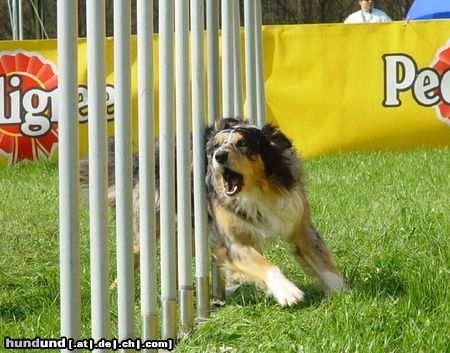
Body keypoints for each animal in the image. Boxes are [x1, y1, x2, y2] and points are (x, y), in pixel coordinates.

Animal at [80, 116, 344, 306]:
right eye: (215, 147)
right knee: (134, 255)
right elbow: (265, 264)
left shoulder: (299, 223)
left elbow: (323, 262)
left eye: (243, 143)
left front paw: (343, 293)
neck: (258, 191)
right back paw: (113, 291)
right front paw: (287, 291)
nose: (219, 156)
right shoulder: (232, 243)